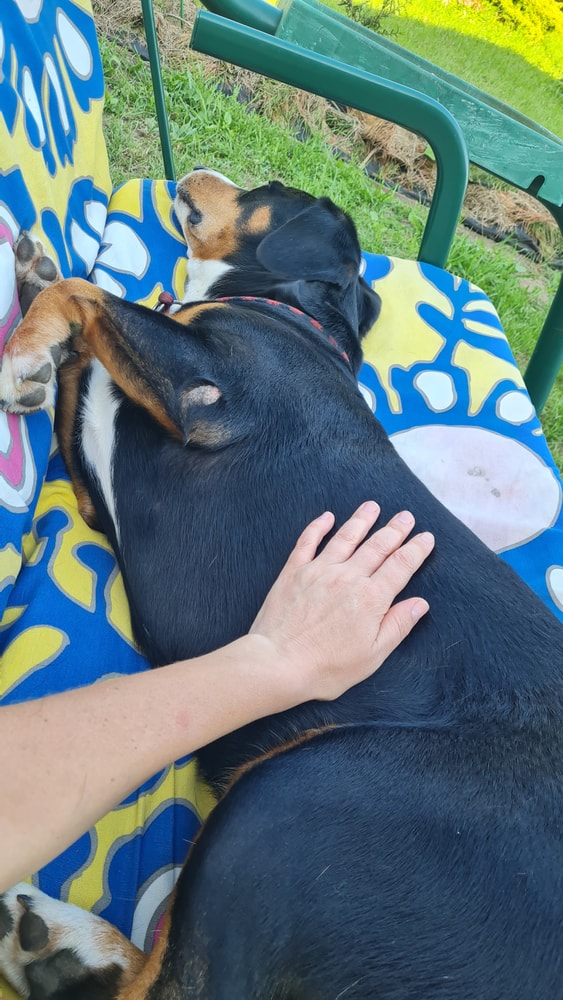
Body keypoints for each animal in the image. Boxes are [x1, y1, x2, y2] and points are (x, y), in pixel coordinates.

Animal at [0, 169, 562, 999]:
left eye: (266, 189)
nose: (197, 174)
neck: (290, 315)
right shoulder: (103, 478)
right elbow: (84, 344)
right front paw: (38, 303)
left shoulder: (206, 391)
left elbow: (90, 292)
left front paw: (25, 353)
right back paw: (65, 952)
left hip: (297, 799)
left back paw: (65, 947)